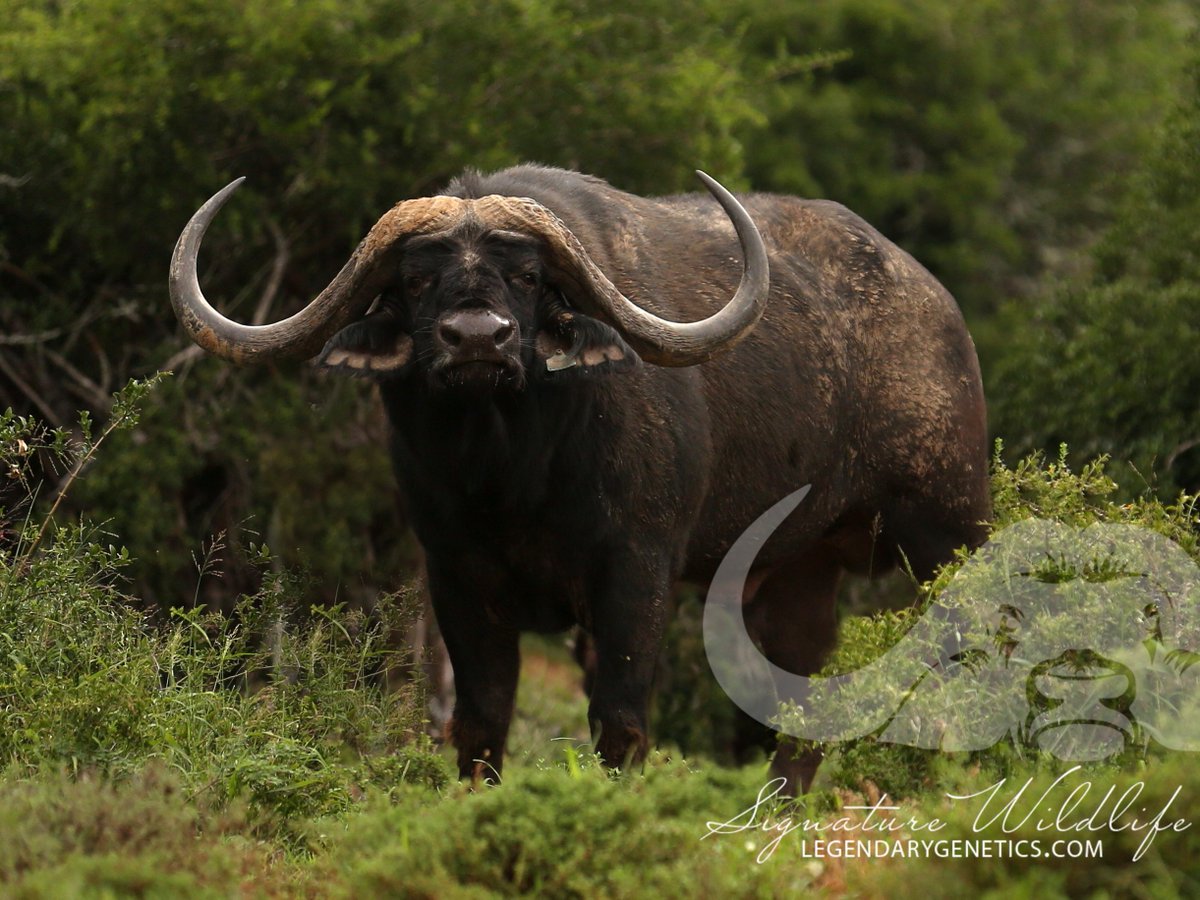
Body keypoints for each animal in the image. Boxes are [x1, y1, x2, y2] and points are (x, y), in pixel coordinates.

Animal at [169, 164, 991, 792]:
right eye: (417, 278)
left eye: (528, 276)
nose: (477, 339)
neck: (510, 478)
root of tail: (938, 307)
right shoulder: (456, 576)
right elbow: (479, 720)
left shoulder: (636, 573)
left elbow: (619, 722)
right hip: (799, 572)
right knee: (802, 701)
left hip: (947, 531)